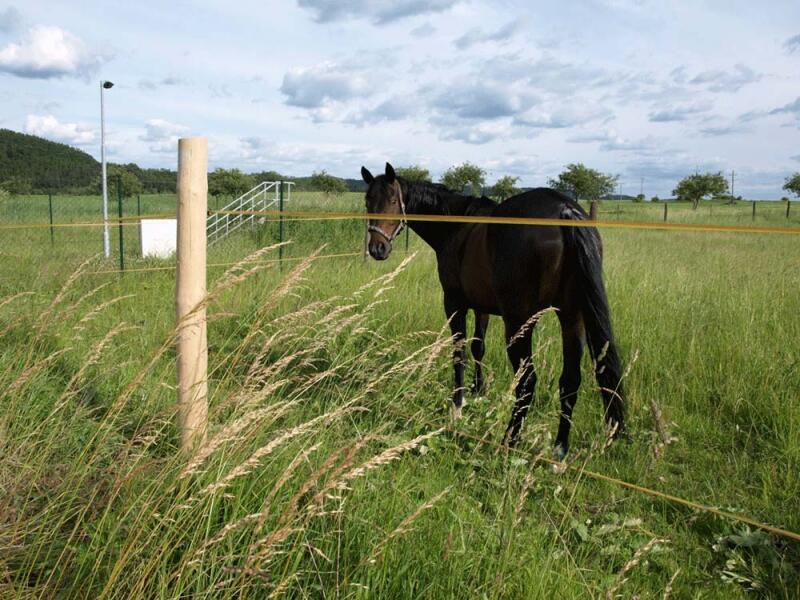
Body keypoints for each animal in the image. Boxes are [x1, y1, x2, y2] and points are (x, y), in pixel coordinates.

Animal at [360, 162, 624, 458]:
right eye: (368, 201)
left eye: (393, 201)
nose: (377, 248)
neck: (456, 226)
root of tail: (564, 211)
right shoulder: (481, 307)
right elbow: (479, 347)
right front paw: (478, 389)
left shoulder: (454, 303)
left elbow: (459, 353)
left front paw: (458, 406)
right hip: (571, 318)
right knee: (570, 382)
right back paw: (558, 451)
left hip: (519, 322)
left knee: (527, 382)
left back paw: (509, 440)